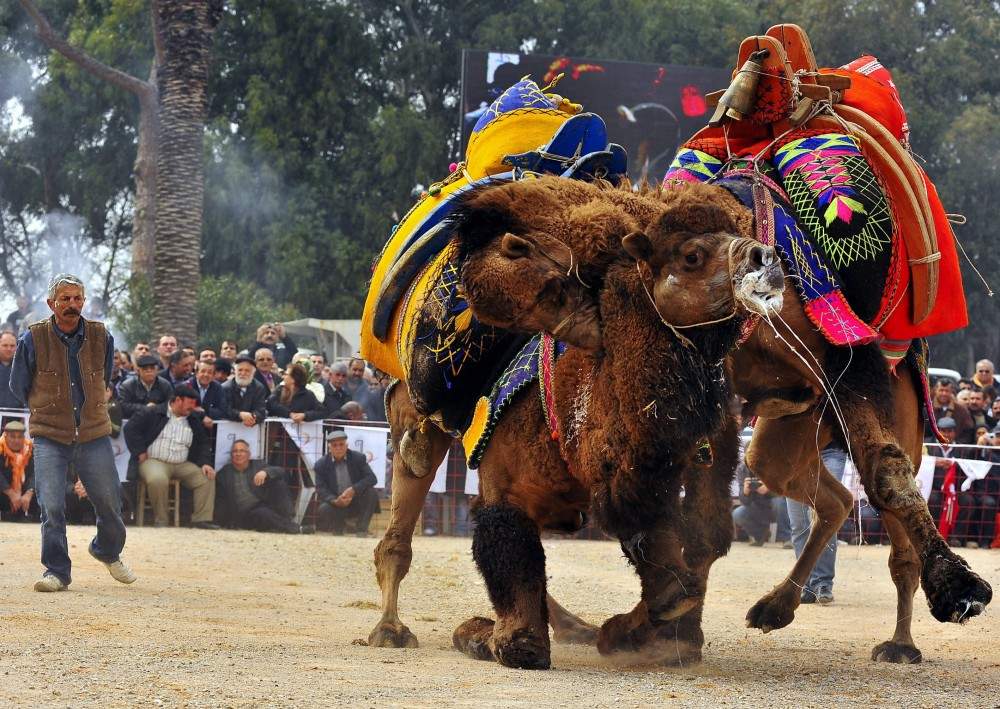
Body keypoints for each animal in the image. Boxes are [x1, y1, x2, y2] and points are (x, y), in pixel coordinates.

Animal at [368, 176, 780, 664]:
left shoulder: (671, 461)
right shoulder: (506, 488)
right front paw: (489, 635)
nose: (766, 257)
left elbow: (675, 543)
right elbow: (518, 610)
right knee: (406, 496)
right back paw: (389, 629)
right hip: (414, 410)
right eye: (691, 254)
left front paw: (649, 633)